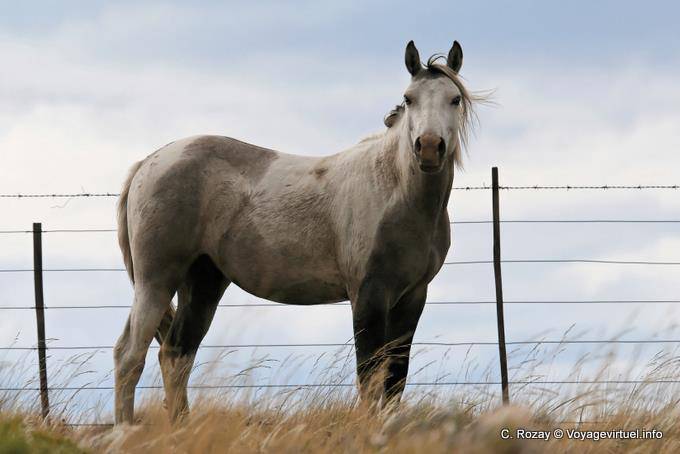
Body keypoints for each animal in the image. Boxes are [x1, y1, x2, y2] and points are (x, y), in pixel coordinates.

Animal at [114, 40, 480, 424]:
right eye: (409, 98)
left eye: (454, 99)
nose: (429, 147)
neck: (394, 188)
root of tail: (149, 162)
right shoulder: (368, 294)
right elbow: (369, 375)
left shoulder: (412, 297)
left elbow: (395, 378)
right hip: (156, 280)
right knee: (130, 356)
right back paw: (126, 429)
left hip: (202, 283)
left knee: (176, 355)